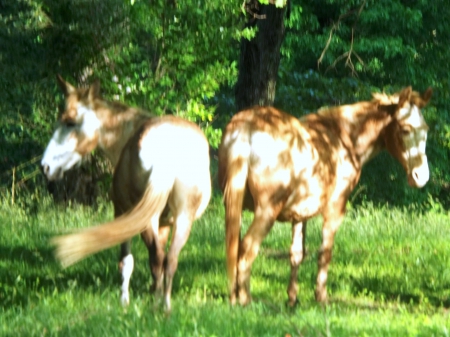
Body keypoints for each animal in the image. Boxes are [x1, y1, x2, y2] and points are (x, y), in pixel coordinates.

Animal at [218, 86, 432, 304]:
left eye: (426, 130)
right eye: (405, 129)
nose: (421, 176)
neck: (344, 139)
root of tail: (246, 125)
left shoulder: (299, 214)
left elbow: (297, 254)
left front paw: (292, 299)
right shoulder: (335, 209)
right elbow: (325, 253)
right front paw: (321, 297)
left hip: (233, 207)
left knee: (234, 246)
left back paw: (235, 296)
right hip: (266, 211)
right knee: (246, 249)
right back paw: (245, 299)